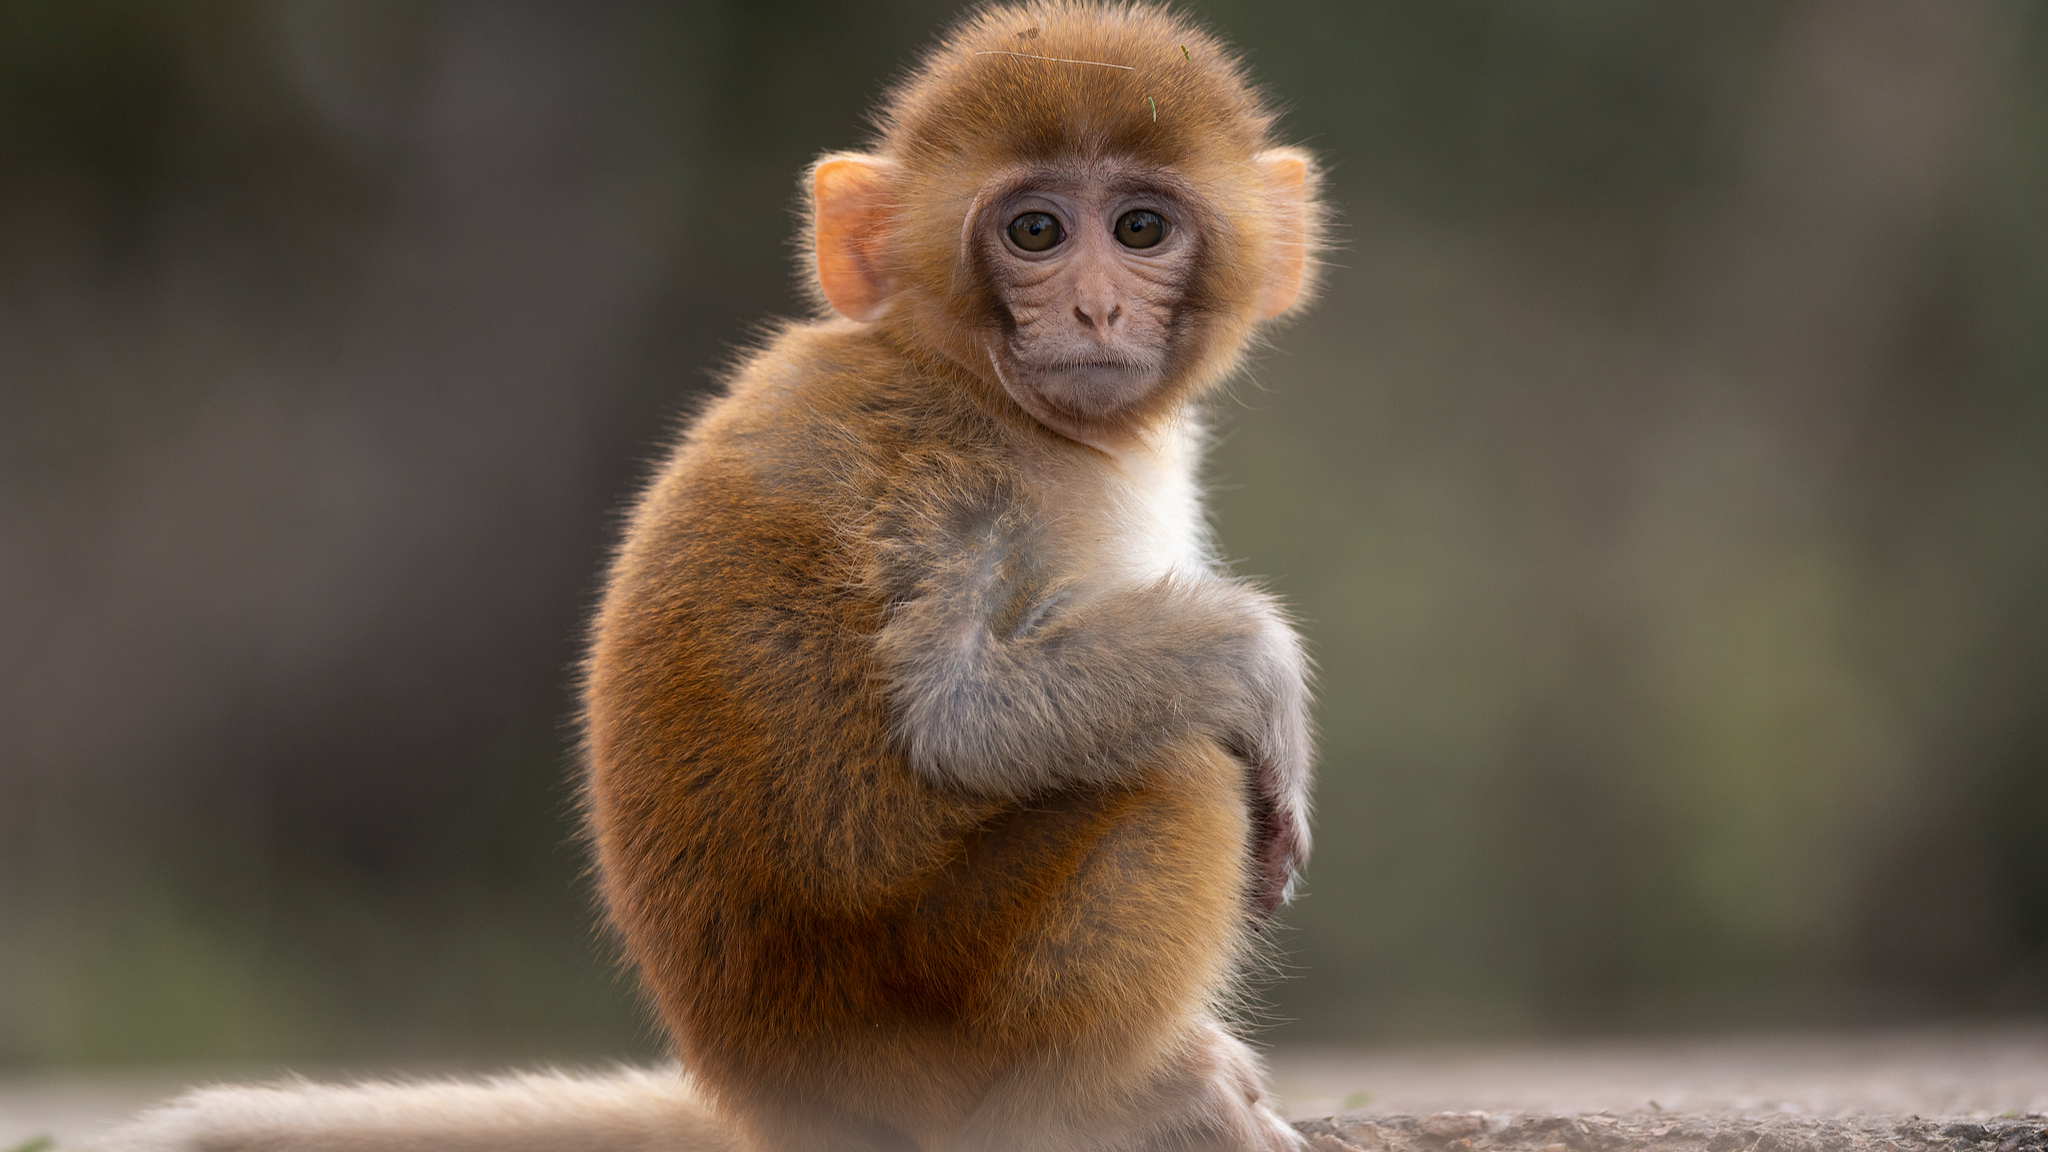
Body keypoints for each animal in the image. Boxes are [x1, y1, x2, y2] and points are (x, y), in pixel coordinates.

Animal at [98, 4, 1324, 1151]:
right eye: (1035, 230)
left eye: (1139, 227)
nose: (1094, 307)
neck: (972, 382)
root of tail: (772, 1103)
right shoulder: (943, 481)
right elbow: (959, 719)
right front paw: (1258, 663)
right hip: (938, 1030)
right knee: (1177, 769)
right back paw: (1091, 1102)